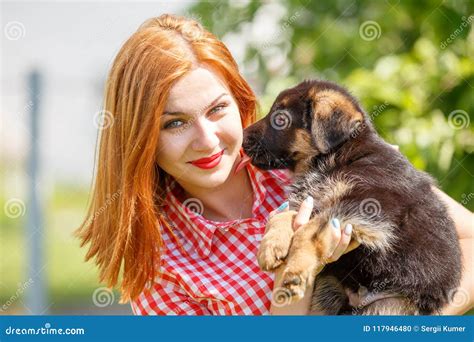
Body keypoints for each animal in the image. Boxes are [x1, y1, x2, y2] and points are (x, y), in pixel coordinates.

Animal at [243, 80, 462, 316]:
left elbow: (308, 231)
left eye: (280, 119)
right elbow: (283, 216)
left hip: (388, 306)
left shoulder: (369, 205)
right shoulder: (312, 199)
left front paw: (295, 271)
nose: (242, 140)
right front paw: (270, 247)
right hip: (327, 295)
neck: (336, 156)